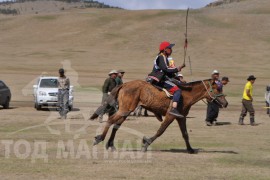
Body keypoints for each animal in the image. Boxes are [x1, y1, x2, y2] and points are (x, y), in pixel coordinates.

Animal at [90, 79, 228, 153]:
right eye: (217, 89)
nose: (226, 103)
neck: (186, 94)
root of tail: (124, 84)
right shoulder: (170, 116)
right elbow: (161, 130)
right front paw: (146, 143)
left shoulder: (180, 118)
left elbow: (185, 134)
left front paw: (190, 149)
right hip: (125, 109)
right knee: (111, 120)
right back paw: (99, 139)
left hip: (125, 111)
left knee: (116, 124)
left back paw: (111, 145)